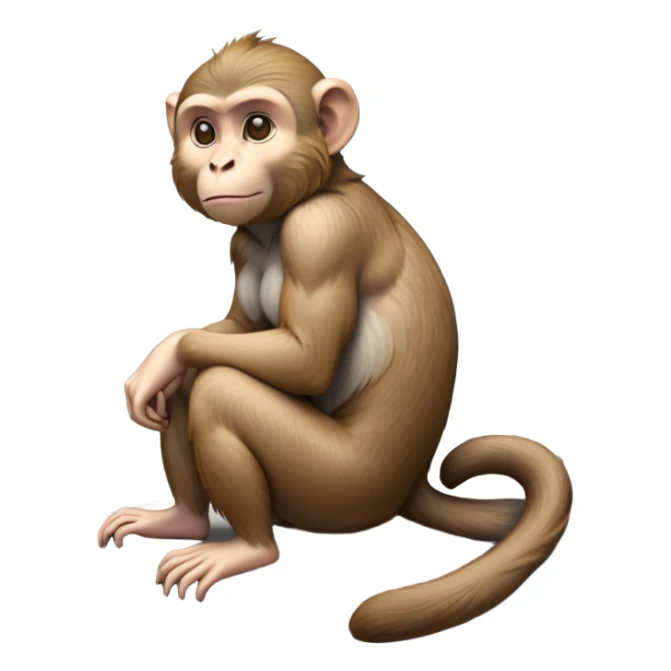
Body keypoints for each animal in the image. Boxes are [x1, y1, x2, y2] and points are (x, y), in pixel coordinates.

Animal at [100, 33, 572, 643]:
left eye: (257, 127)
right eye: (203, 132)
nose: (220, 162)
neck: (303, 201)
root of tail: (409, 485)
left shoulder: (323, 233)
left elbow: (304, 360)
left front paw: (166, 351)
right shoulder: (243, 244)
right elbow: (237, 331)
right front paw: (157, 362)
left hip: (341, 487)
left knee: (220, 389)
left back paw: (251, 548)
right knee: (191, 386)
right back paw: (182, 519)